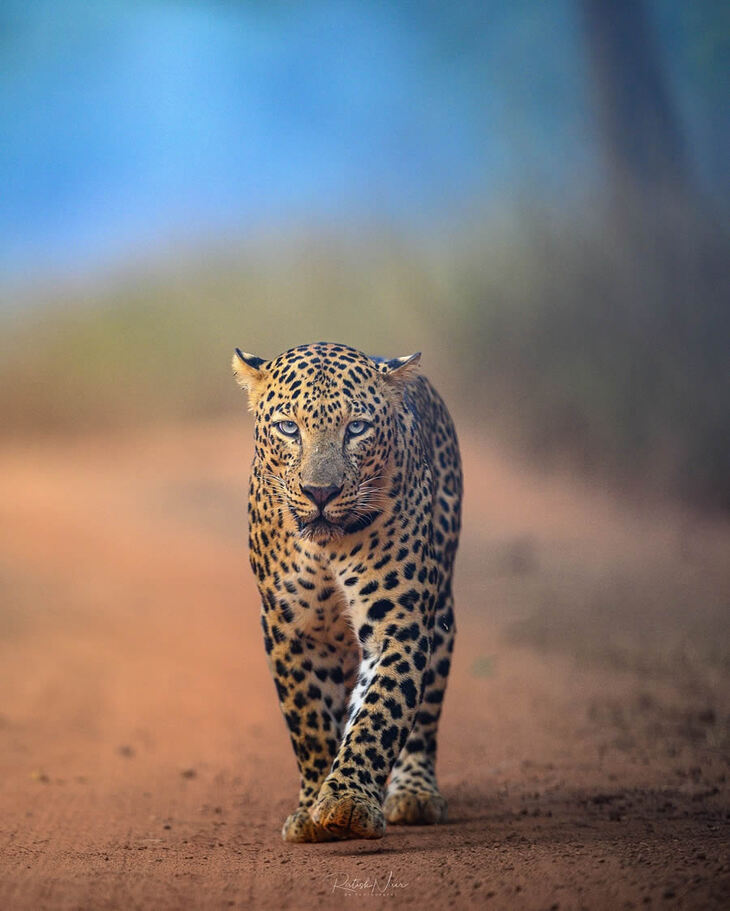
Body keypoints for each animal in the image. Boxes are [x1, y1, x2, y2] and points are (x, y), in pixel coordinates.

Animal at [232, 342, 460, 840]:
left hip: (441, 614)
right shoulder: (288, 628)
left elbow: (379, 713)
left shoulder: (398, 624)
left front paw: (346, 803)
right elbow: (310, 720)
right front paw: (311, 810)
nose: (321, 492)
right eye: (289, 427)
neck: (326, 548)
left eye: (356, 428)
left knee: (424, 713)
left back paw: (414, 793)